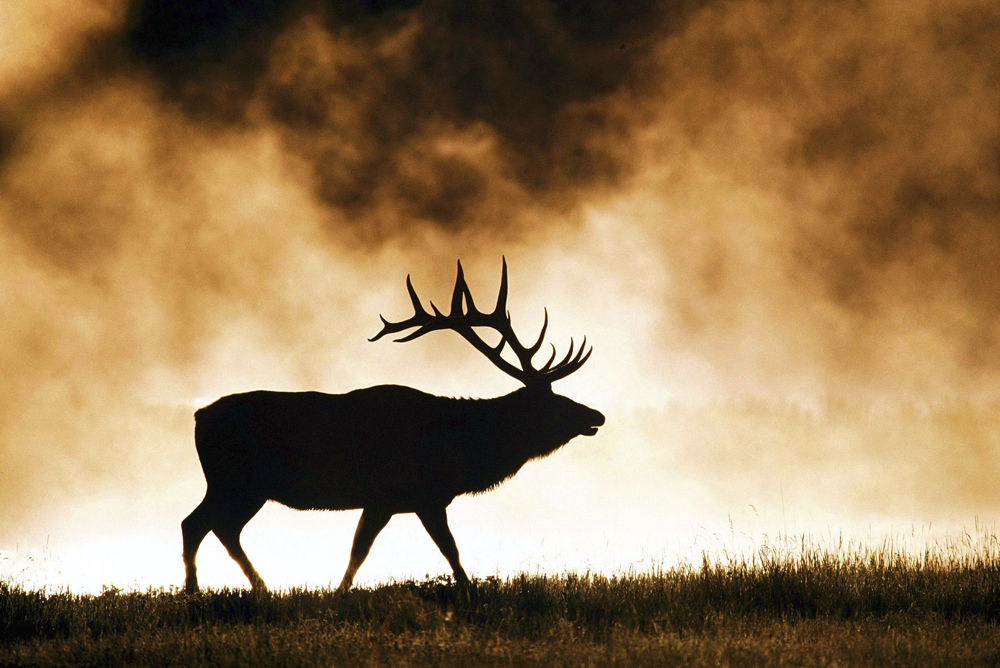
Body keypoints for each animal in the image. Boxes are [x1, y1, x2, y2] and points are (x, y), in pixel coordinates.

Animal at [181, 258, 605, 594]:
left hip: (240, 485)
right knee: (202, 524)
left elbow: (361, 550)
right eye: (551, 403)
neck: (460, 447)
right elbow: (445, 549)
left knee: (211, 526)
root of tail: (199, 416)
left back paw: (237, 587)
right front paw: (470, 593)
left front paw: (339, 593)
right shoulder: (419, 495)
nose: (596, 416)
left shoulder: (387, 501)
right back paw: (211, 589)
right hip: (236, 480)